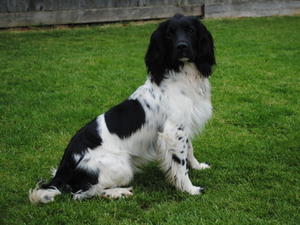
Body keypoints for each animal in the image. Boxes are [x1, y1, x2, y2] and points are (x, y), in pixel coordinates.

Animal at [28, 14, 216, 204]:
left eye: (190, 30)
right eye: (170, 34)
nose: (182, 46)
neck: (184, 76)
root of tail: (65, 164)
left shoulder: (184, 126)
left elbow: (189, 150)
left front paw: (197, 166)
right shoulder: (173, 131)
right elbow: (180, 165)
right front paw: (190, 189)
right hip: (122, 167)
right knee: (82, 193)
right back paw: (119, 192)